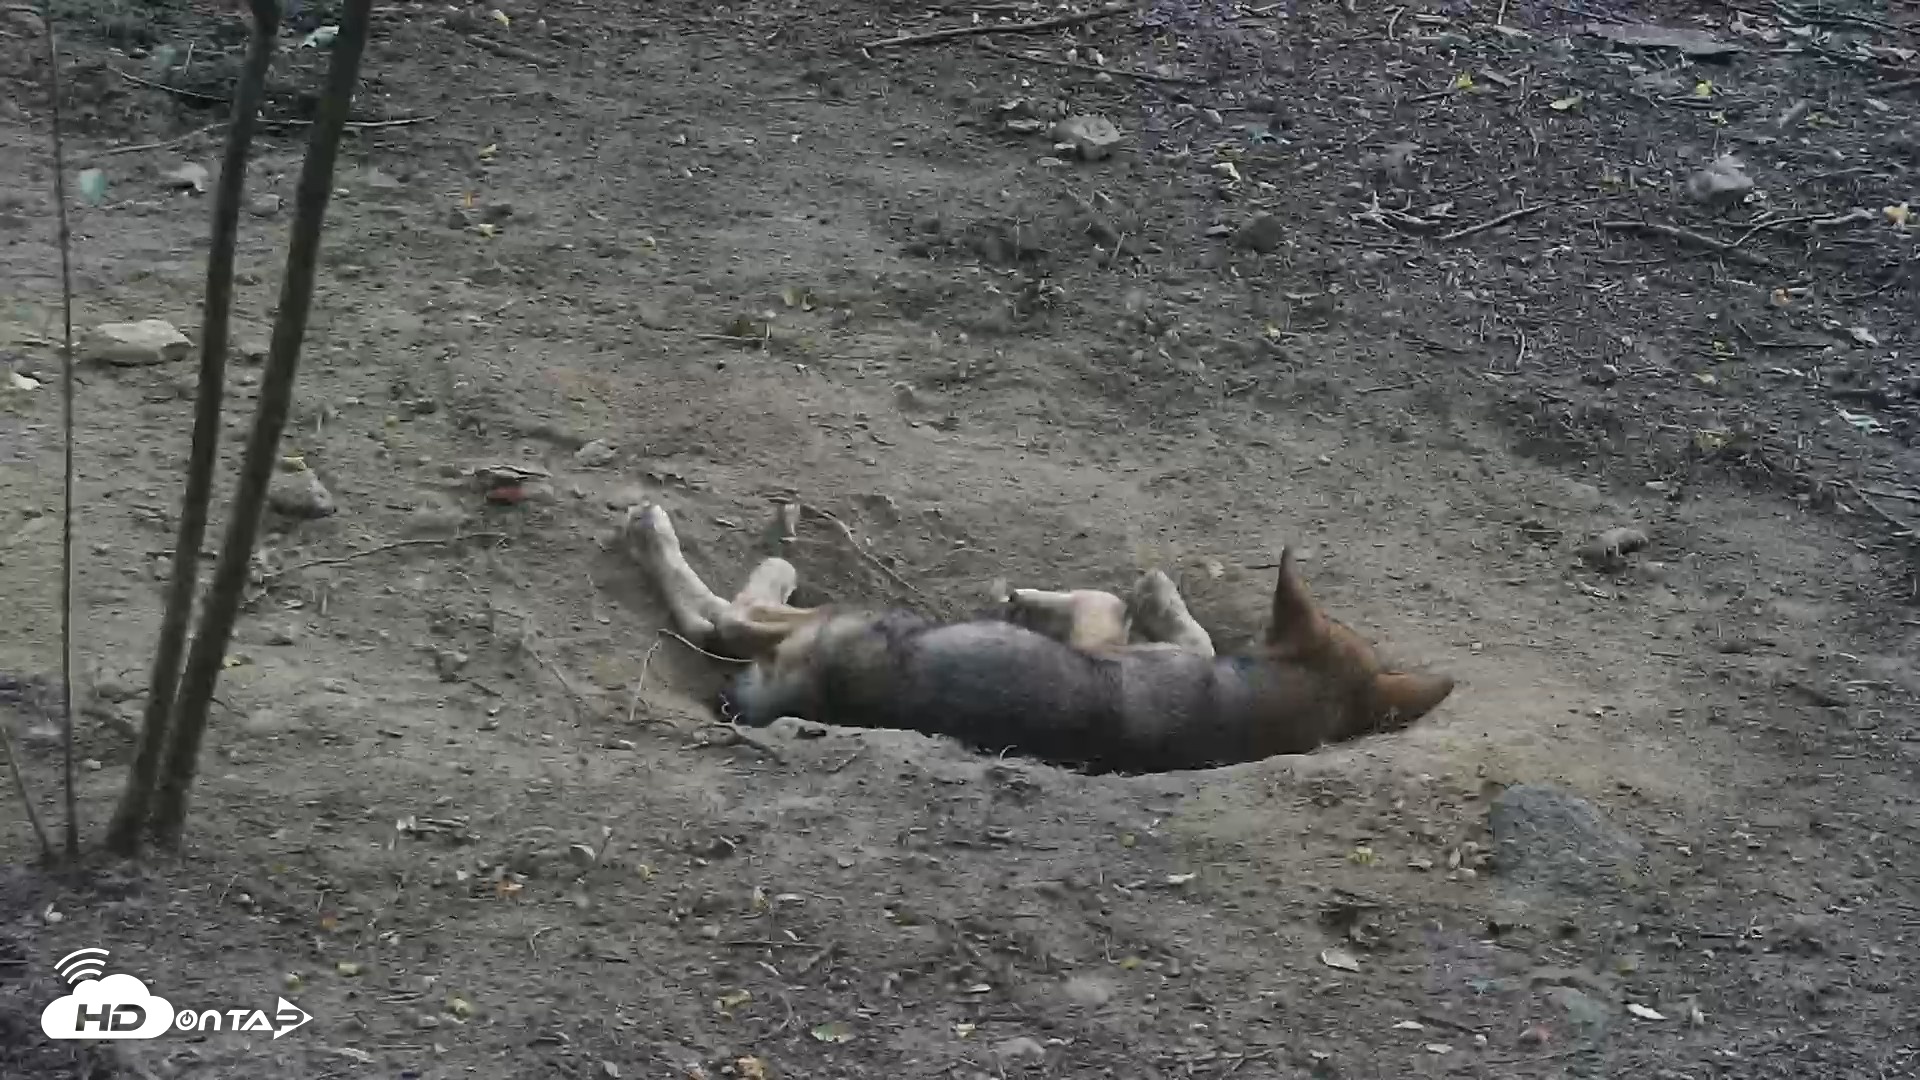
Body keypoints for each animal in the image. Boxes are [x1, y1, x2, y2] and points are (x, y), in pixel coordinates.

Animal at [625, 503, 1453, 774]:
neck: (1273, 698)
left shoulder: (1130, 643)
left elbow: (1123, 607)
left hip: (851, 617)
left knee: (722, 614)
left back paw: (674, 533)